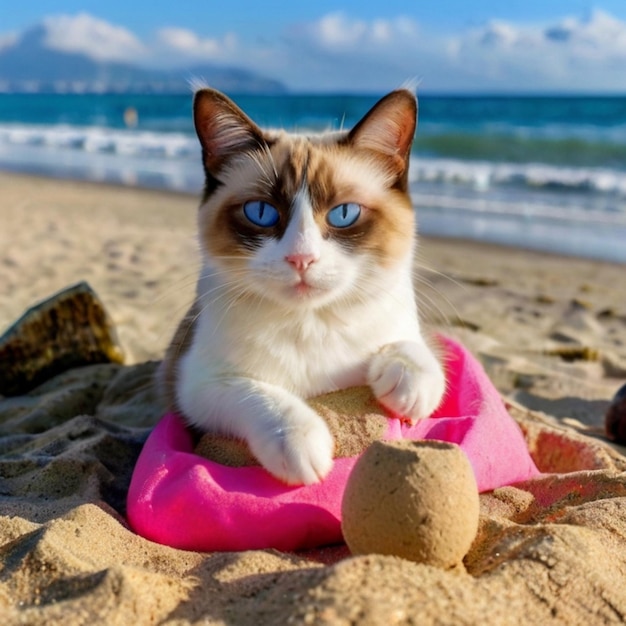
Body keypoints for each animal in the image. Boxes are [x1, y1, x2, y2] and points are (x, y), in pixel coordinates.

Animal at [161, 88, 444, 486]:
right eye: (261, 213)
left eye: (344, 214)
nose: (301, 259)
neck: (311, 321)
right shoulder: (195, 382)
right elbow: (258, 393)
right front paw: (301, 445)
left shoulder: (403, 328)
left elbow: (415, 350)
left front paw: (407, 383)